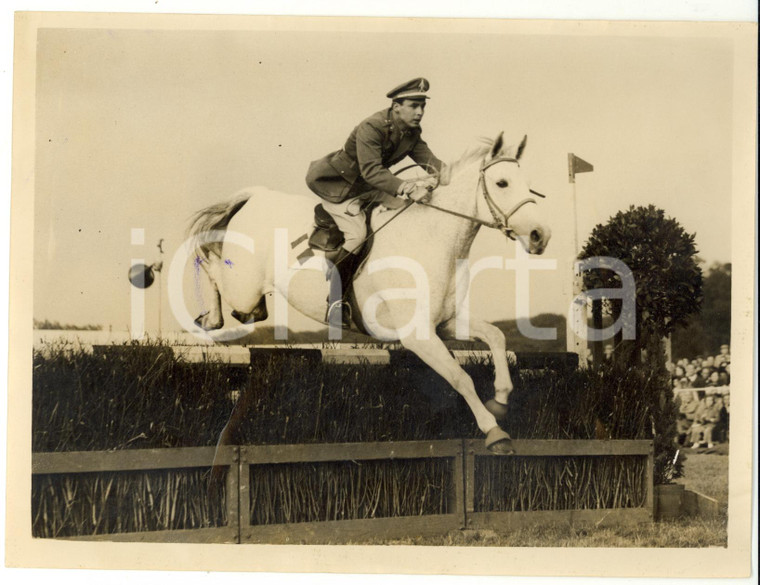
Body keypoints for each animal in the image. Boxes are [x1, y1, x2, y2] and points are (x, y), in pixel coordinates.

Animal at [187, 133, 548, 456]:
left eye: (528, 184)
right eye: (502, 183)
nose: (540, 235)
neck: (432, 237)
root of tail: (256, 196)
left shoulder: (445, 323)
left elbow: (496, 336)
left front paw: (500, 401)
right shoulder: (418, 336)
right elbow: (461, 378)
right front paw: (494, 431)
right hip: (243, 287)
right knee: (208, 260)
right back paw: (210, 317)